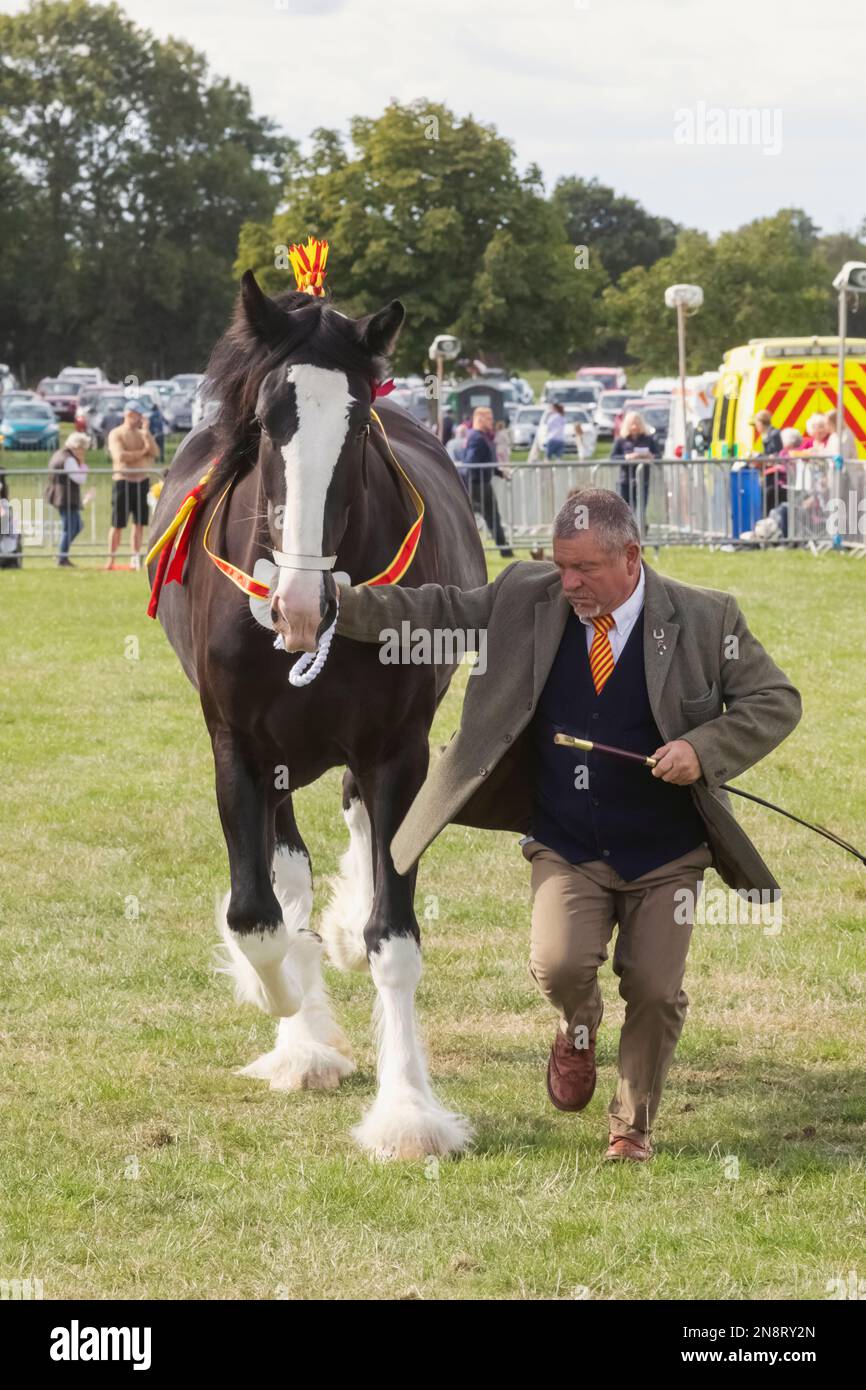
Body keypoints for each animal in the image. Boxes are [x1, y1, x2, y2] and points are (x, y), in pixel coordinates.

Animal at [147, 271, 487, 1158]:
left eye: (360, 420)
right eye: (268, 420)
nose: (299, 604)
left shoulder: (397, 749)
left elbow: (393, 936)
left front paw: (408, 1112)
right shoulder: (237, 747)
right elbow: (255, 917)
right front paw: (292, 1018)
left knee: (362, 833)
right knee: (287, 868)